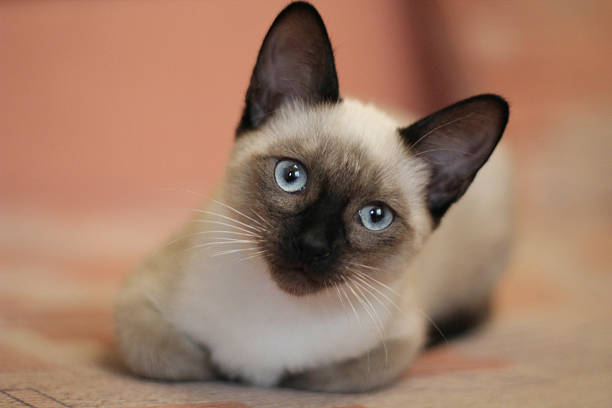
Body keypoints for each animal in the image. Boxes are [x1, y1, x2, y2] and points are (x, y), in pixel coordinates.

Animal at [115, 1, 512, 394]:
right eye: (291, 177)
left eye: (375, 216)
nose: (312, 245)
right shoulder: (135, 305)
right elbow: (182, 361)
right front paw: (228, 369)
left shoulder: (395, 345)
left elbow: (317, 376)